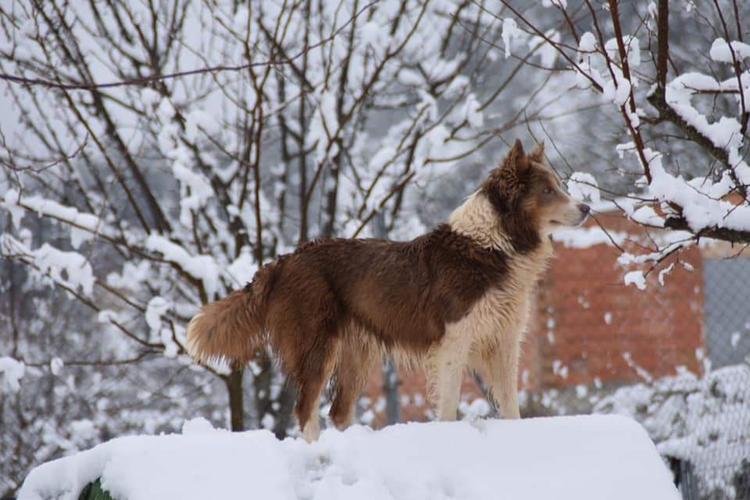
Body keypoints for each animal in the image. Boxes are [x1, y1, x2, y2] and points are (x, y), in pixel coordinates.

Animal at [187, 140, 588, 442]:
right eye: (548, 190)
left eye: (558, 185)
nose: (586, 207)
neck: (495, 243)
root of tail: (285, 260)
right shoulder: (453, 342)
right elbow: (448, 405)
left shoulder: (503, 341)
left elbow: (510, 405)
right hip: (318, 346)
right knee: (305, 409)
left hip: (356, 352)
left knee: (338, 411)